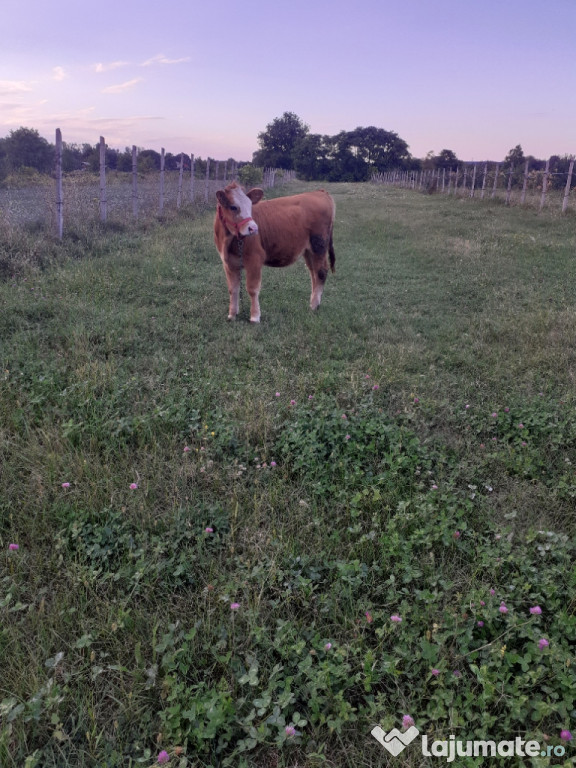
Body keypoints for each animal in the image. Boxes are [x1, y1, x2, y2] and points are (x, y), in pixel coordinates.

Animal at [214, 183, 336, 320]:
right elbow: (233, 289)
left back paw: (314, 306)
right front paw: (232, 315)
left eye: (250, 205)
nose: (254, 228)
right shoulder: (228, 263)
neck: (228, 241)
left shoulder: (255, 259)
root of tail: (319, 192)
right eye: (233, 207)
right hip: (309, 250)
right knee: (313, 272)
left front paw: (255, 316)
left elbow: (252, 289)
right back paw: (313, 303)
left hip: (319, 244)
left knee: (321, 272)